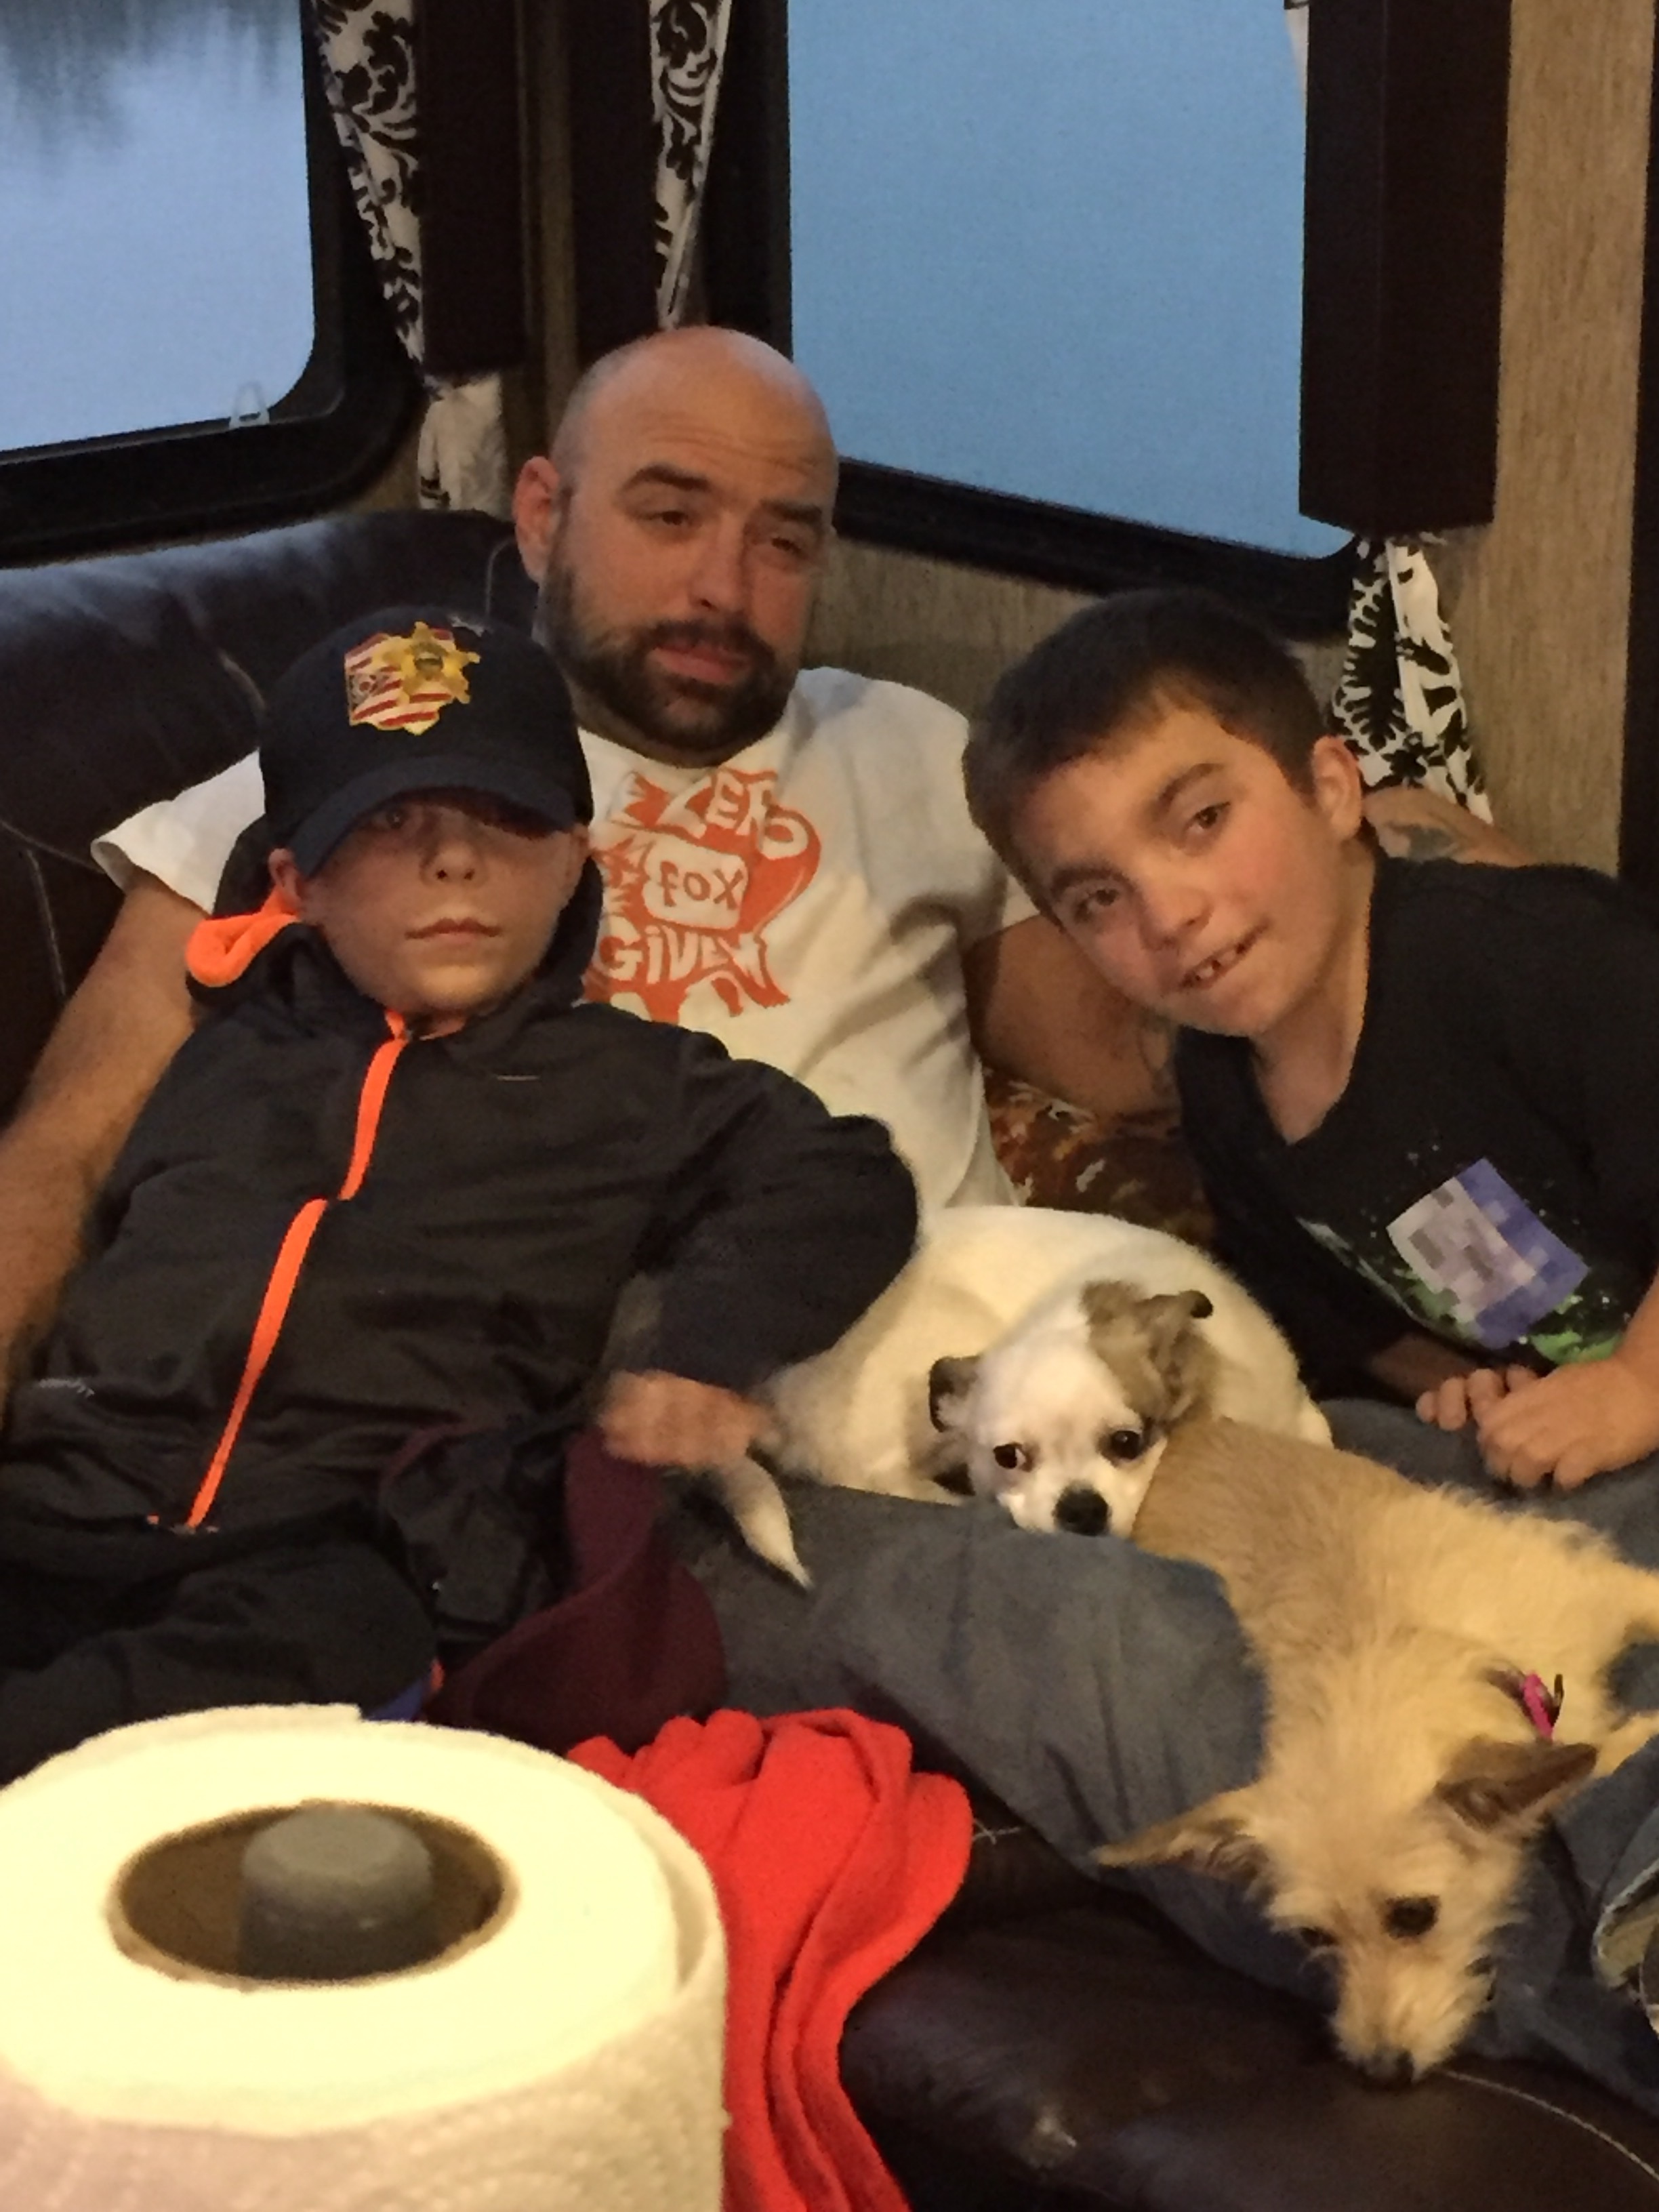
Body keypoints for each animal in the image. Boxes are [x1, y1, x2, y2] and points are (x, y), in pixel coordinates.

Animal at [703, 1205, 1325, 1581]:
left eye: (1128, 1442)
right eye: (1009, 1457)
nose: (1080, 1508)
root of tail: (762, 1391)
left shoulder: (1300, 1412)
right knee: (880, 1477)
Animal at [1099, 1417, 1659, 2082]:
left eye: (1414, 1915)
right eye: (1314, 1937)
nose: (1381, 2073)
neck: (1403, 1636)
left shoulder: (1600, 1590)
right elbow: (1607, 1750)